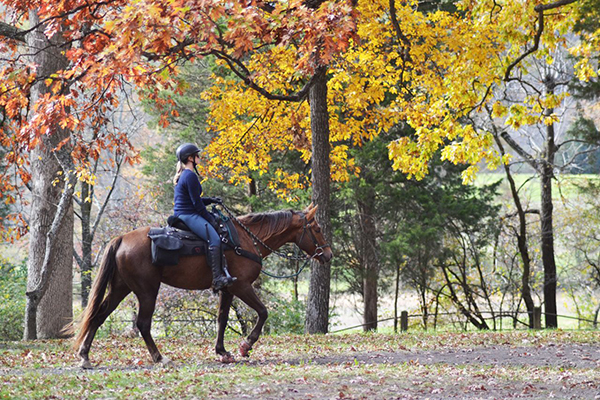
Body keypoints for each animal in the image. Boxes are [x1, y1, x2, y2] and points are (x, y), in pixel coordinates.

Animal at [71, 203, 332, 368]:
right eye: (318, 229)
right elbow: (263, 312)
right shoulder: (242, 287)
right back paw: (159, 357)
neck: (245, 240)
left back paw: (85, 357)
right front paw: (245, 346)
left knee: (98, 316)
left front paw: (223, 352)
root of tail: (122, 238)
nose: (328, 254)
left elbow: (222, 319)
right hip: (147, 292)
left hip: (120, 289)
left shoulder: (227, 289)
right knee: (143, 324)